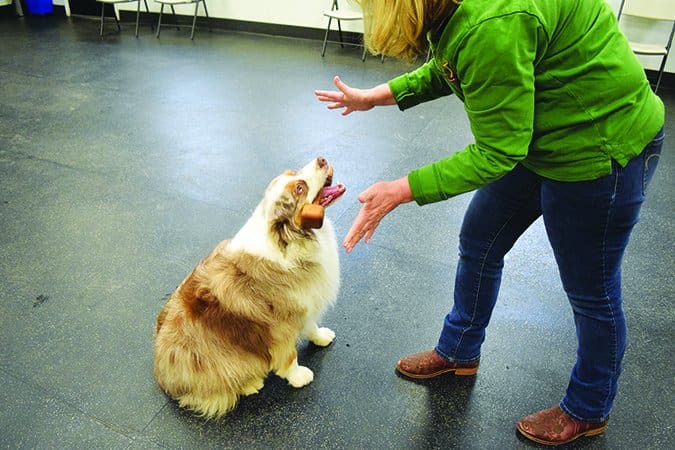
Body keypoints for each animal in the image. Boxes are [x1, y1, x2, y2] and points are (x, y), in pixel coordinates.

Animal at [151, 157, 346, 418]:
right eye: (299, 188)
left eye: (293, 172)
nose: (321, 159)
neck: (290, 241)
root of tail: (164, 381)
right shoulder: (280, 326)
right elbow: (289, 356)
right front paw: (299, 377)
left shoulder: (303, 304)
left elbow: (312, 324)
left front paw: (322, 337)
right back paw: (251, 384)